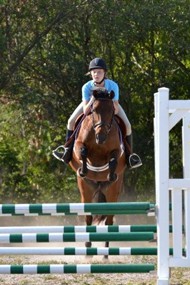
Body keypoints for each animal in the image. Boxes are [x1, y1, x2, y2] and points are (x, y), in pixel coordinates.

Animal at [69, 88, 126, 251]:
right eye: (93, 110)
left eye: (112, 110)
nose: (101, 136)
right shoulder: (78, 144)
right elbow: (82, 151)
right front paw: (83, 170)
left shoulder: (116, 151)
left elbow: (113, 160)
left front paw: (111, 174)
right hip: (86, 189)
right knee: (88, 217)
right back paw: (88, 245)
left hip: (112, 192)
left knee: (109, 220)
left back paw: (106, 250)